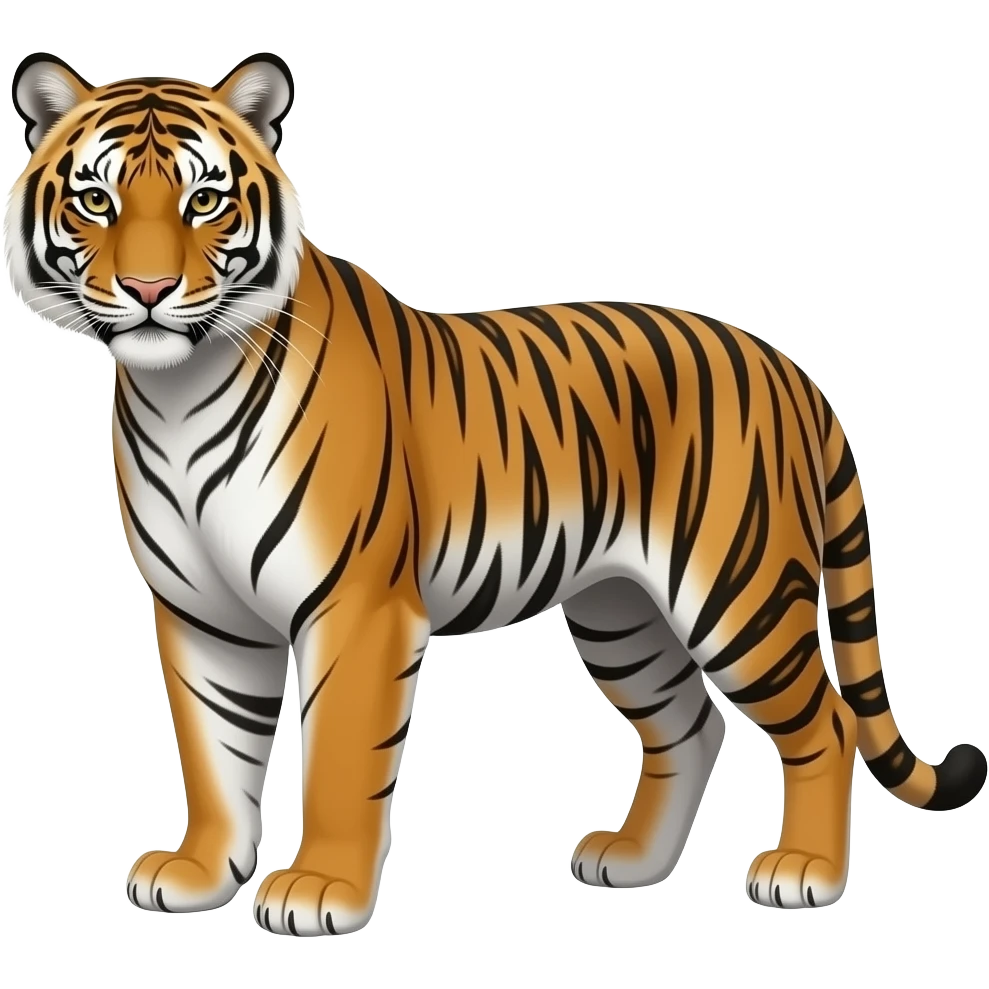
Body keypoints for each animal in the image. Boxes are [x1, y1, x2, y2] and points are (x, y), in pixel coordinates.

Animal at [4, 50, 985, 935]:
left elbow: (337, 761)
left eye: (204, 200)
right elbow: (214, 752)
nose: (148, 289)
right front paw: (201, 873)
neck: (177, 390)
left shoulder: (355, 606)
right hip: (620, 610)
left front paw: (320, 890)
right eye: (96, 200)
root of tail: (790, 368)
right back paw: (632, 859)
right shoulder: (202, 613)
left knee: (825, 719)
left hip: (736, 594)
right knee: (688, 721)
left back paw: (804, 872)